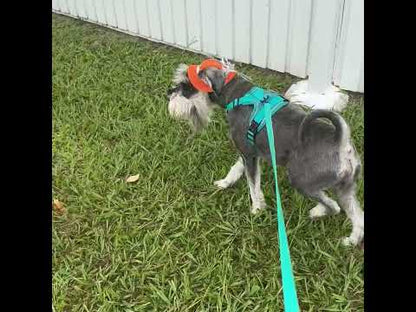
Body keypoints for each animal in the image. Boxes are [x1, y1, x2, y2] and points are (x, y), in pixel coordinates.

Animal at [166, 60, 364, 246]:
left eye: (185, 85)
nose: (169, 93)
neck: (236, 95)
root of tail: (341, 142)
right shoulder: (248, 152)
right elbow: (236, 169)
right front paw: (225, 183)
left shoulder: (249, 155)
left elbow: (253, 185)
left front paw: (256, 209)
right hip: (345, 188)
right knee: (357, 216)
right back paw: (351, 240)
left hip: (302, 181)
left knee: (333, 206)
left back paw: (317, 212)